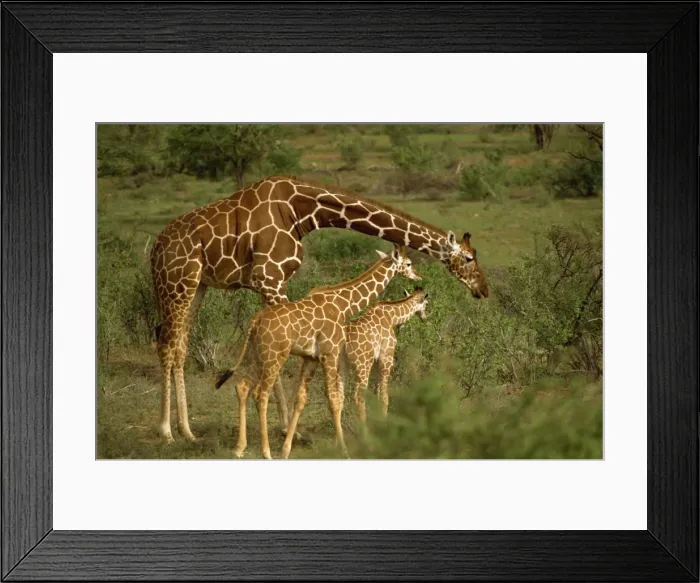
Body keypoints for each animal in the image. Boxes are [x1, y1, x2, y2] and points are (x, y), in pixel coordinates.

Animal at [344, 287, 429, 424]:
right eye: (426, 304)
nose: (424, 318)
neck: (391, 317)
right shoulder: (386, 357)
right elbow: (384, 397)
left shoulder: (376, 363)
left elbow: (377, 393)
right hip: (363, 365)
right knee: (359, 396)